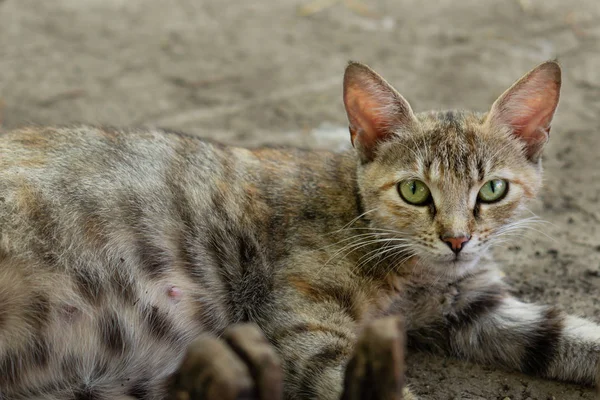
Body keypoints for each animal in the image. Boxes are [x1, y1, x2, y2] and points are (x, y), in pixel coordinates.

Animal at [1, 60, 600, 400]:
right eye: (414, 191)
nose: (457, 239)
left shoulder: (477, 307)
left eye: (492, 190)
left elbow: (569, 336)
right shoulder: (301, 323)